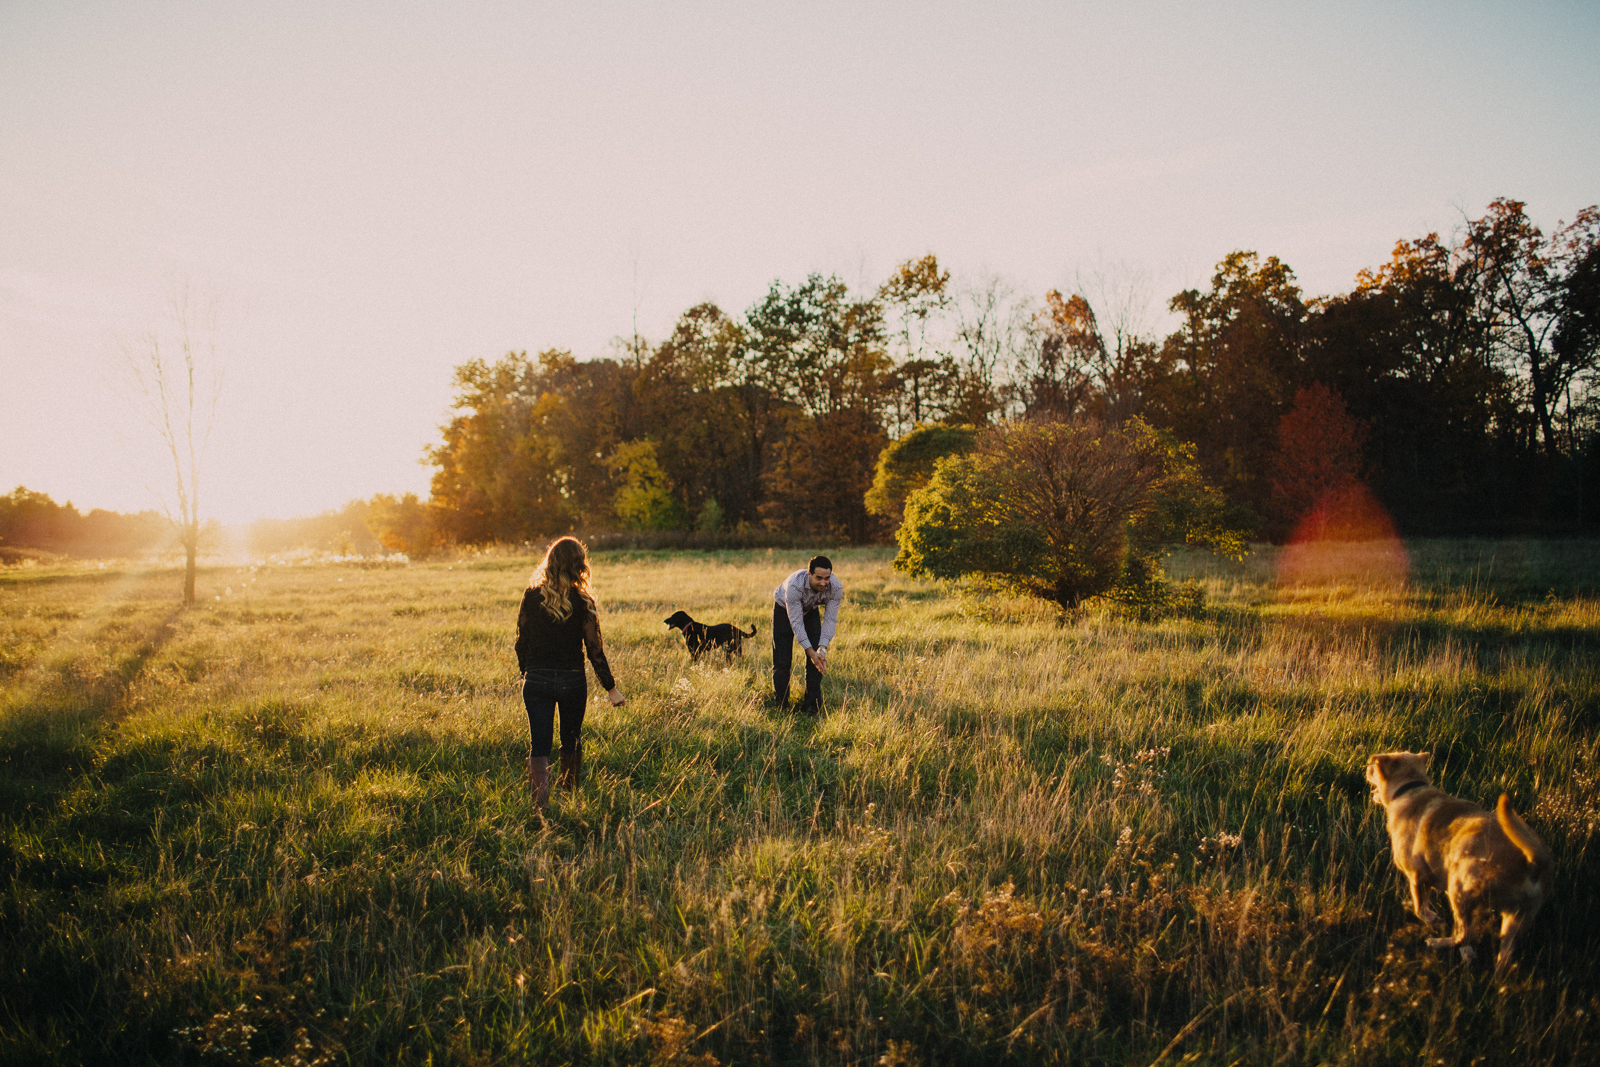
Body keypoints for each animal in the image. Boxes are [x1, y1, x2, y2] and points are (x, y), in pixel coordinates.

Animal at [1363, 751, 1548, 979]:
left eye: (1373, 767)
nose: (1366, 765)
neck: (1411, 788)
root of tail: (1533, 861)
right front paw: (1467, 954)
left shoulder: (1417, 876)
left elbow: (1420, 908)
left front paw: (1433, 920)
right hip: (1515, 919)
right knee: (1494, 951)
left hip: (1459, 888)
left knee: (1467, 934)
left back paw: (1437, 943)